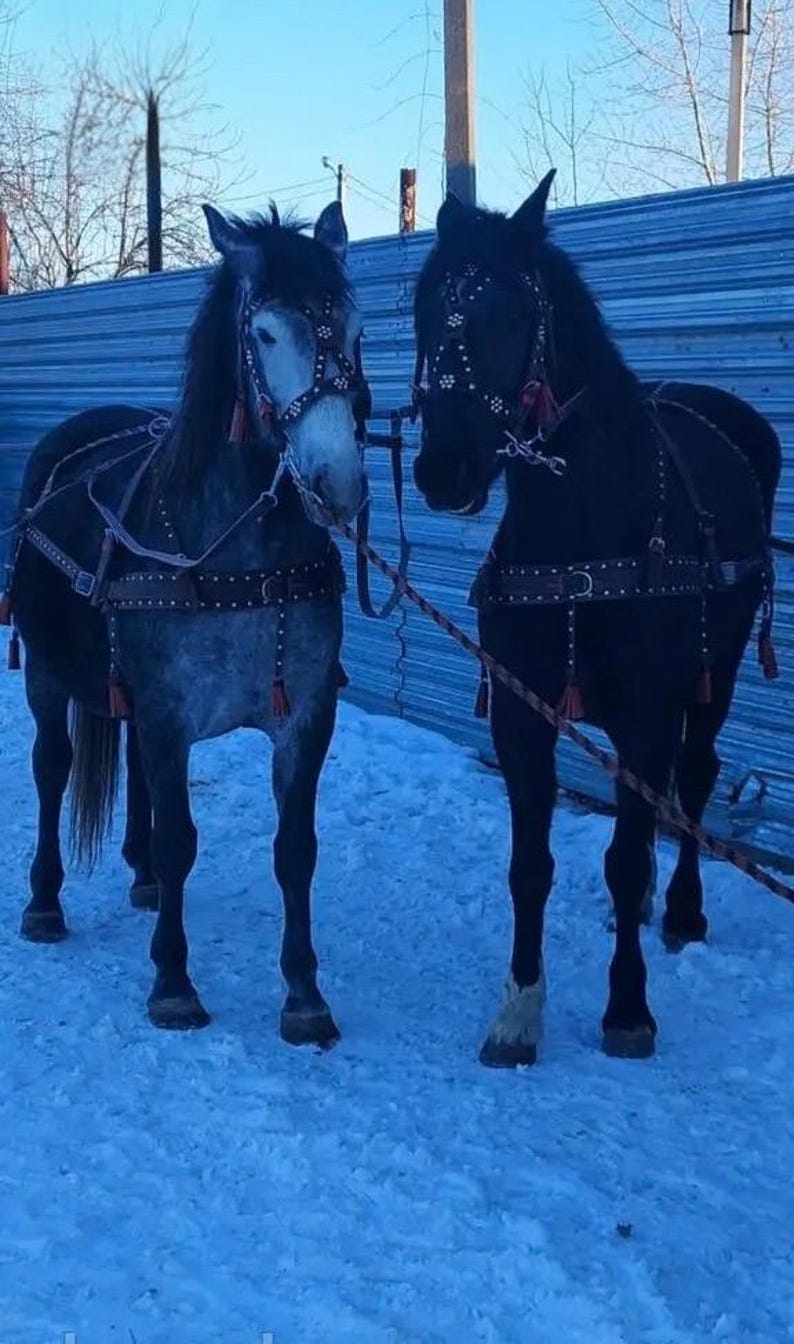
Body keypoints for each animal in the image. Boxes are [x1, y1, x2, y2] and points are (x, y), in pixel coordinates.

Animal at [3, 199, 370, 1044]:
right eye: (264, 334)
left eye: (354, 325)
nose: (337, 482)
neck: (240, 552)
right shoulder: (170, 714)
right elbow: (180, 841)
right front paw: (173, 981)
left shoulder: (305, 716)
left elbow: (295, 849)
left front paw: (304, 994)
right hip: (45, 673)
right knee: (51, 767)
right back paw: (45, 901)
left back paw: (137, 877)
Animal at [412, 171, 781, 1064]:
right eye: (424, 306)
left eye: (512, 309)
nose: (445, 470)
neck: (582, 525)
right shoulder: (521, 711)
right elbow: (530, 864)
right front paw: (519, 1011)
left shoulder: (650, 708)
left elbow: (623, 851)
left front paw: (627, 1009)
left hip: (713, 682)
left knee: (695, 779)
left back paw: (678, 909)